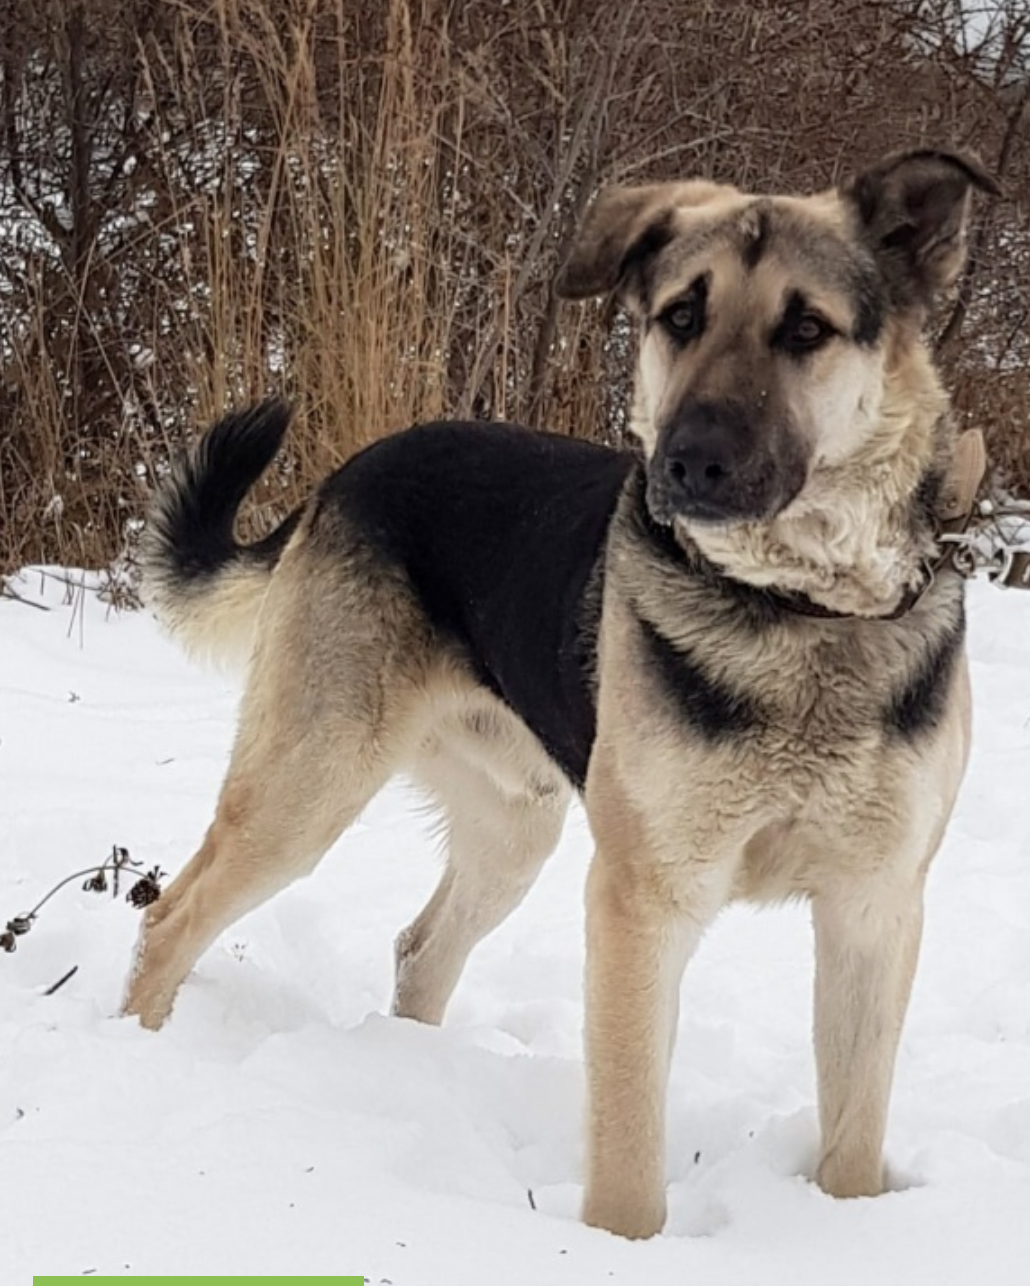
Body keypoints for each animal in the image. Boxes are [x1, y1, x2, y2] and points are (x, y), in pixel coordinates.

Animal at [122, 147, 997, 1234]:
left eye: (806, 329)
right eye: (680, 315)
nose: (689, 462)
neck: (798, 609)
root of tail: (346, 474)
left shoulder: (874, 909)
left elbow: (853, 1141)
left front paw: (852, 1227)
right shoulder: (641, 903)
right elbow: (626, 1151)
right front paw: (621, 1247)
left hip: (513, 829)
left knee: (420, 949)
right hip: (309, 786)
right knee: (170, 917)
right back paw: (130, 1057)